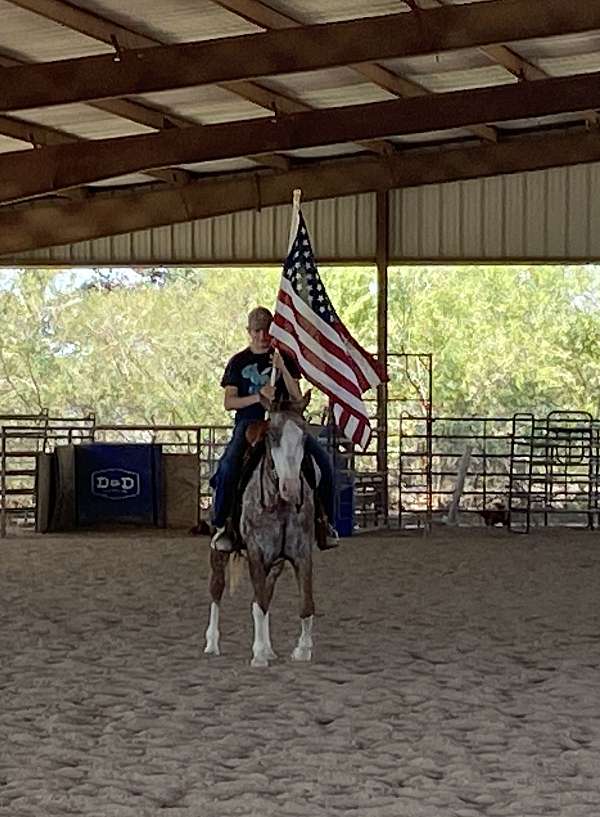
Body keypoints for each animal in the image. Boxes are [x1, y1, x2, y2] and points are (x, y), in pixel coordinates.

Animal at [205, 392, 318, 668]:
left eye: (304, 436)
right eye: (272, 436)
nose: (291, 488)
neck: (279, 505)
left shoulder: (301, 554)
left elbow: (305, 604)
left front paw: (302, 649)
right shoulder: (256, 554)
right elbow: (258, 605)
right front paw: (257, 655)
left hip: (275, 565)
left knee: (265, 594)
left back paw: (269, 649)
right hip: (218, 552)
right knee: (217, 590)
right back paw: (212, 644)